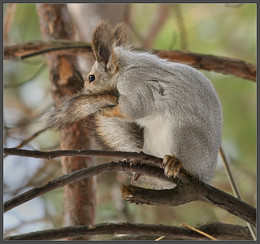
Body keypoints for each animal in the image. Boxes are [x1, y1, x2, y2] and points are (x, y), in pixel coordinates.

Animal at [45, 21, 223, 186]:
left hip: (184, 135)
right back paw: (141, 162)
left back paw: (176, 162)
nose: (85, 91)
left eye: (91, 78)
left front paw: (109, 111)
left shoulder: (136, 85)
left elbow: (134, 108)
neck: (124, 68)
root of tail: (205, 175)